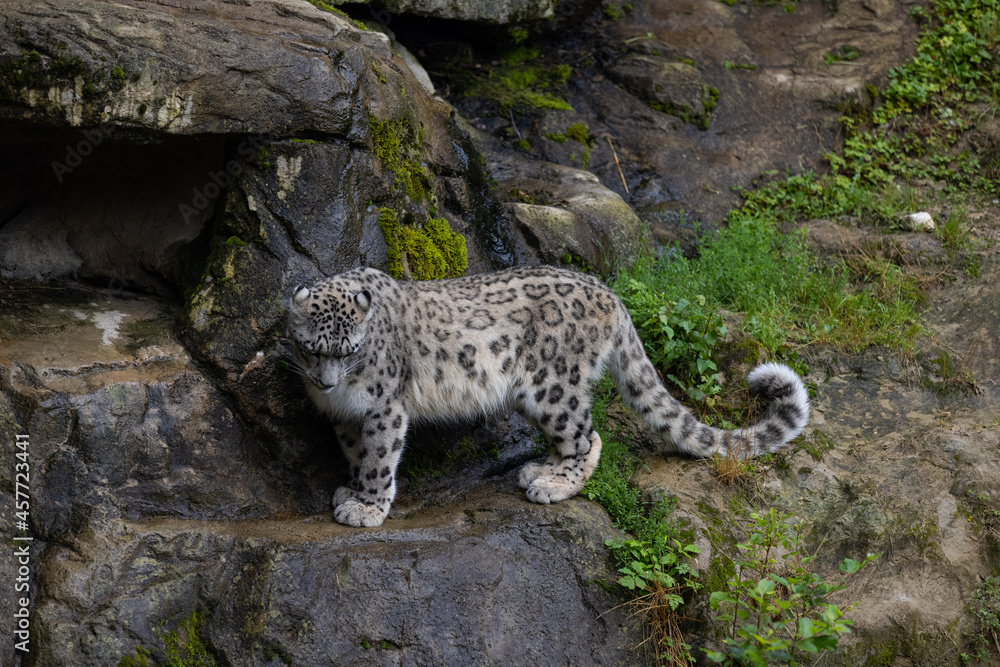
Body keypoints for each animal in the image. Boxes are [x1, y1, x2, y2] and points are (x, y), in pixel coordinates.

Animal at [286, 265, 809, 527]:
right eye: (311, 348)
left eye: (351, 350)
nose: (327, 383)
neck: (344, 395)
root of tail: (608, 292)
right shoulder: (345, 416)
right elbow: (356, 455)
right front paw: (352, 490)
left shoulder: (383, 407)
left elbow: (378, 457)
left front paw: (366, 507)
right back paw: (540, 469)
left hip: (551, 386)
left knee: (588, 437)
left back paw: (555, 485)